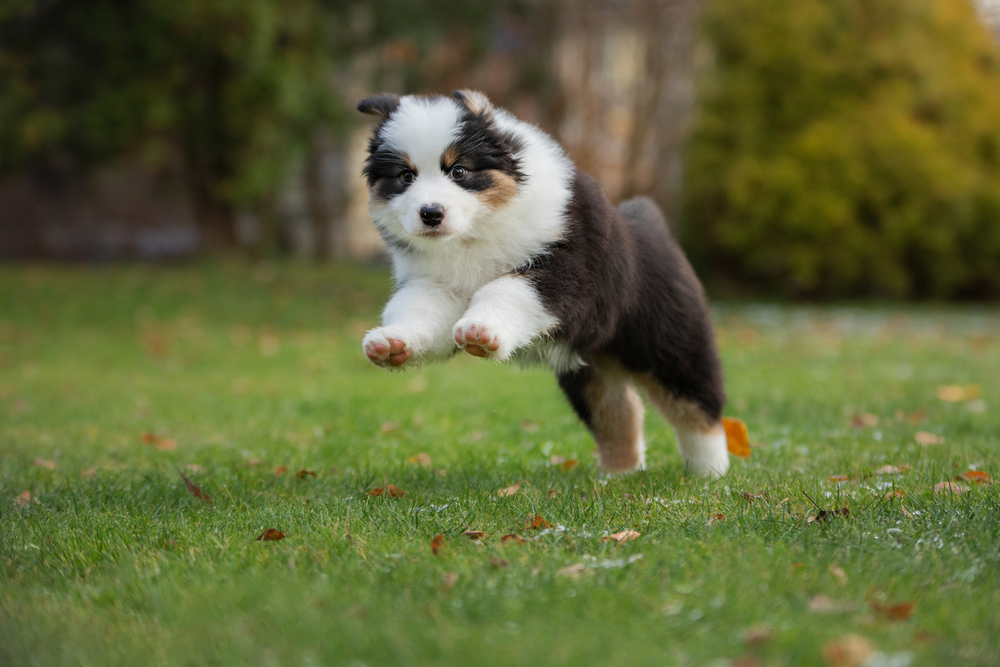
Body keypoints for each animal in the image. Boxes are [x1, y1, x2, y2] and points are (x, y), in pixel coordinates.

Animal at [358, 91, 728, 480]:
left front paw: (481, 331)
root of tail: (649, 220)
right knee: (617, 412)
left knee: (697, 405)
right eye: (405, 175)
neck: (474, 233)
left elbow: (504, 288)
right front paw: (392, 343)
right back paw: (618, 476)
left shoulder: (563, 270)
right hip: (586, 367)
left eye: (458, 171)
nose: (430, 213)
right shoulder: (434, 283)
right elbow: (420, 310)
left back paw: (709, 475)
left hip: (668, 342)